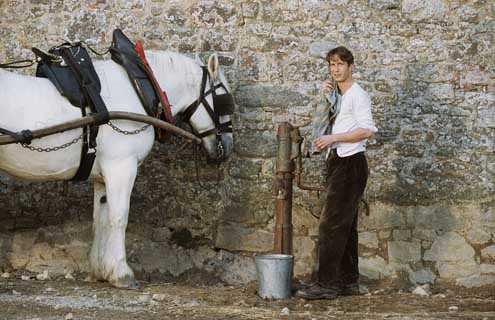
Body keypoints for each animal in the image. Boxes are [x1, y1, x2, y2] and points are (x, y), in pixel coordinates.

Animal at [0, 51, 235, 288]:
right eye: (224, 100)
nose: (228, 145)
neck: (138, 86)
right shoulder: (121, 166)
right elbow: (119, 217)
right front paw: (122, 273)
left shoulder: (103, 175)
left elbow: (101, 219)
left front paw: (101, 270)